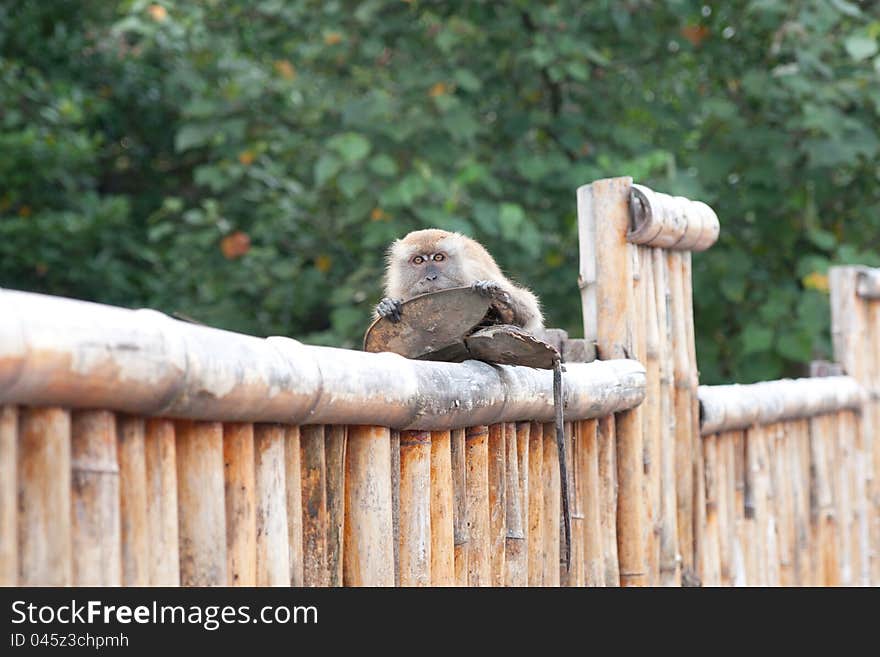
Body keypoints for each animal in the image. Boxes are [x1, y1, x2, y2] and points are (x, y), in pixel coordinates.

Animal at [376, 231, 544, 334]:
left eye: (439, 257)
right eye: (418, 260)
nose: (431, 277)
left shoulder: (477, 272)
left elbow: (530, 314)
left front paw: (494, 292)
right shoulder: (400, 289)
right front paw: (388, 305)